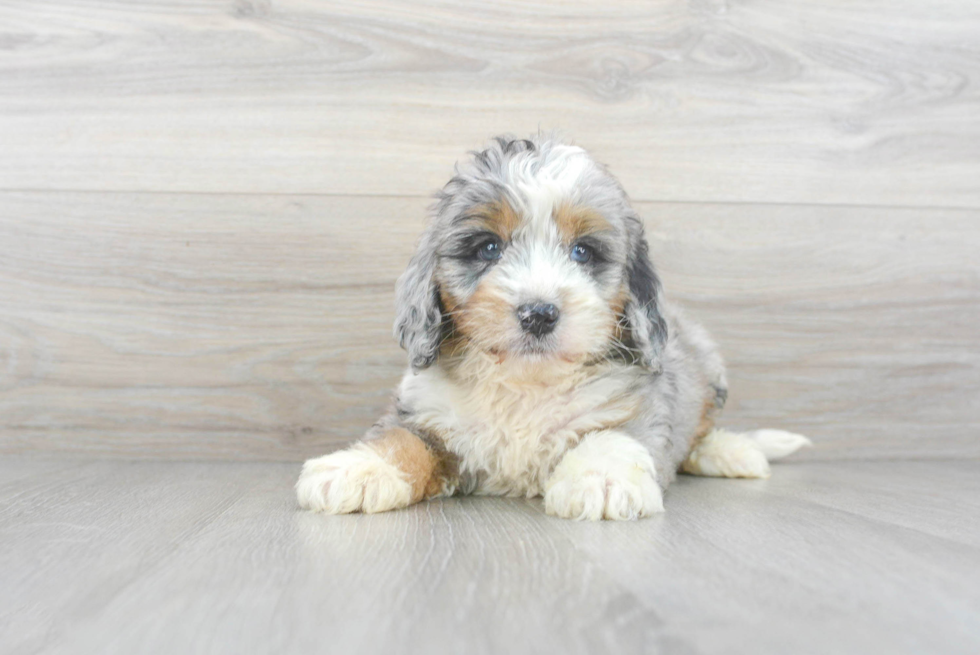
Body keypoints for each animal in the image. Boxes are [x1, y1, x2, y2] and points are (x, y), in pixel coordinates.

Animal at [296, 135, 812, 524]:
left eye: (583, 251)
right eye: (488, 247)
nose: (538, 313)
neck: (526, 384)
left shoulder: (636, 405)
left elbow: (613, 436)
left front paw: (602, 479)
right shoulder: (424, 413)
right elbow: (399, 439)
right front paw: (356, 468)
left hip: (708, 364)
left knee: (701, 431)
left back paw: (733, 452)